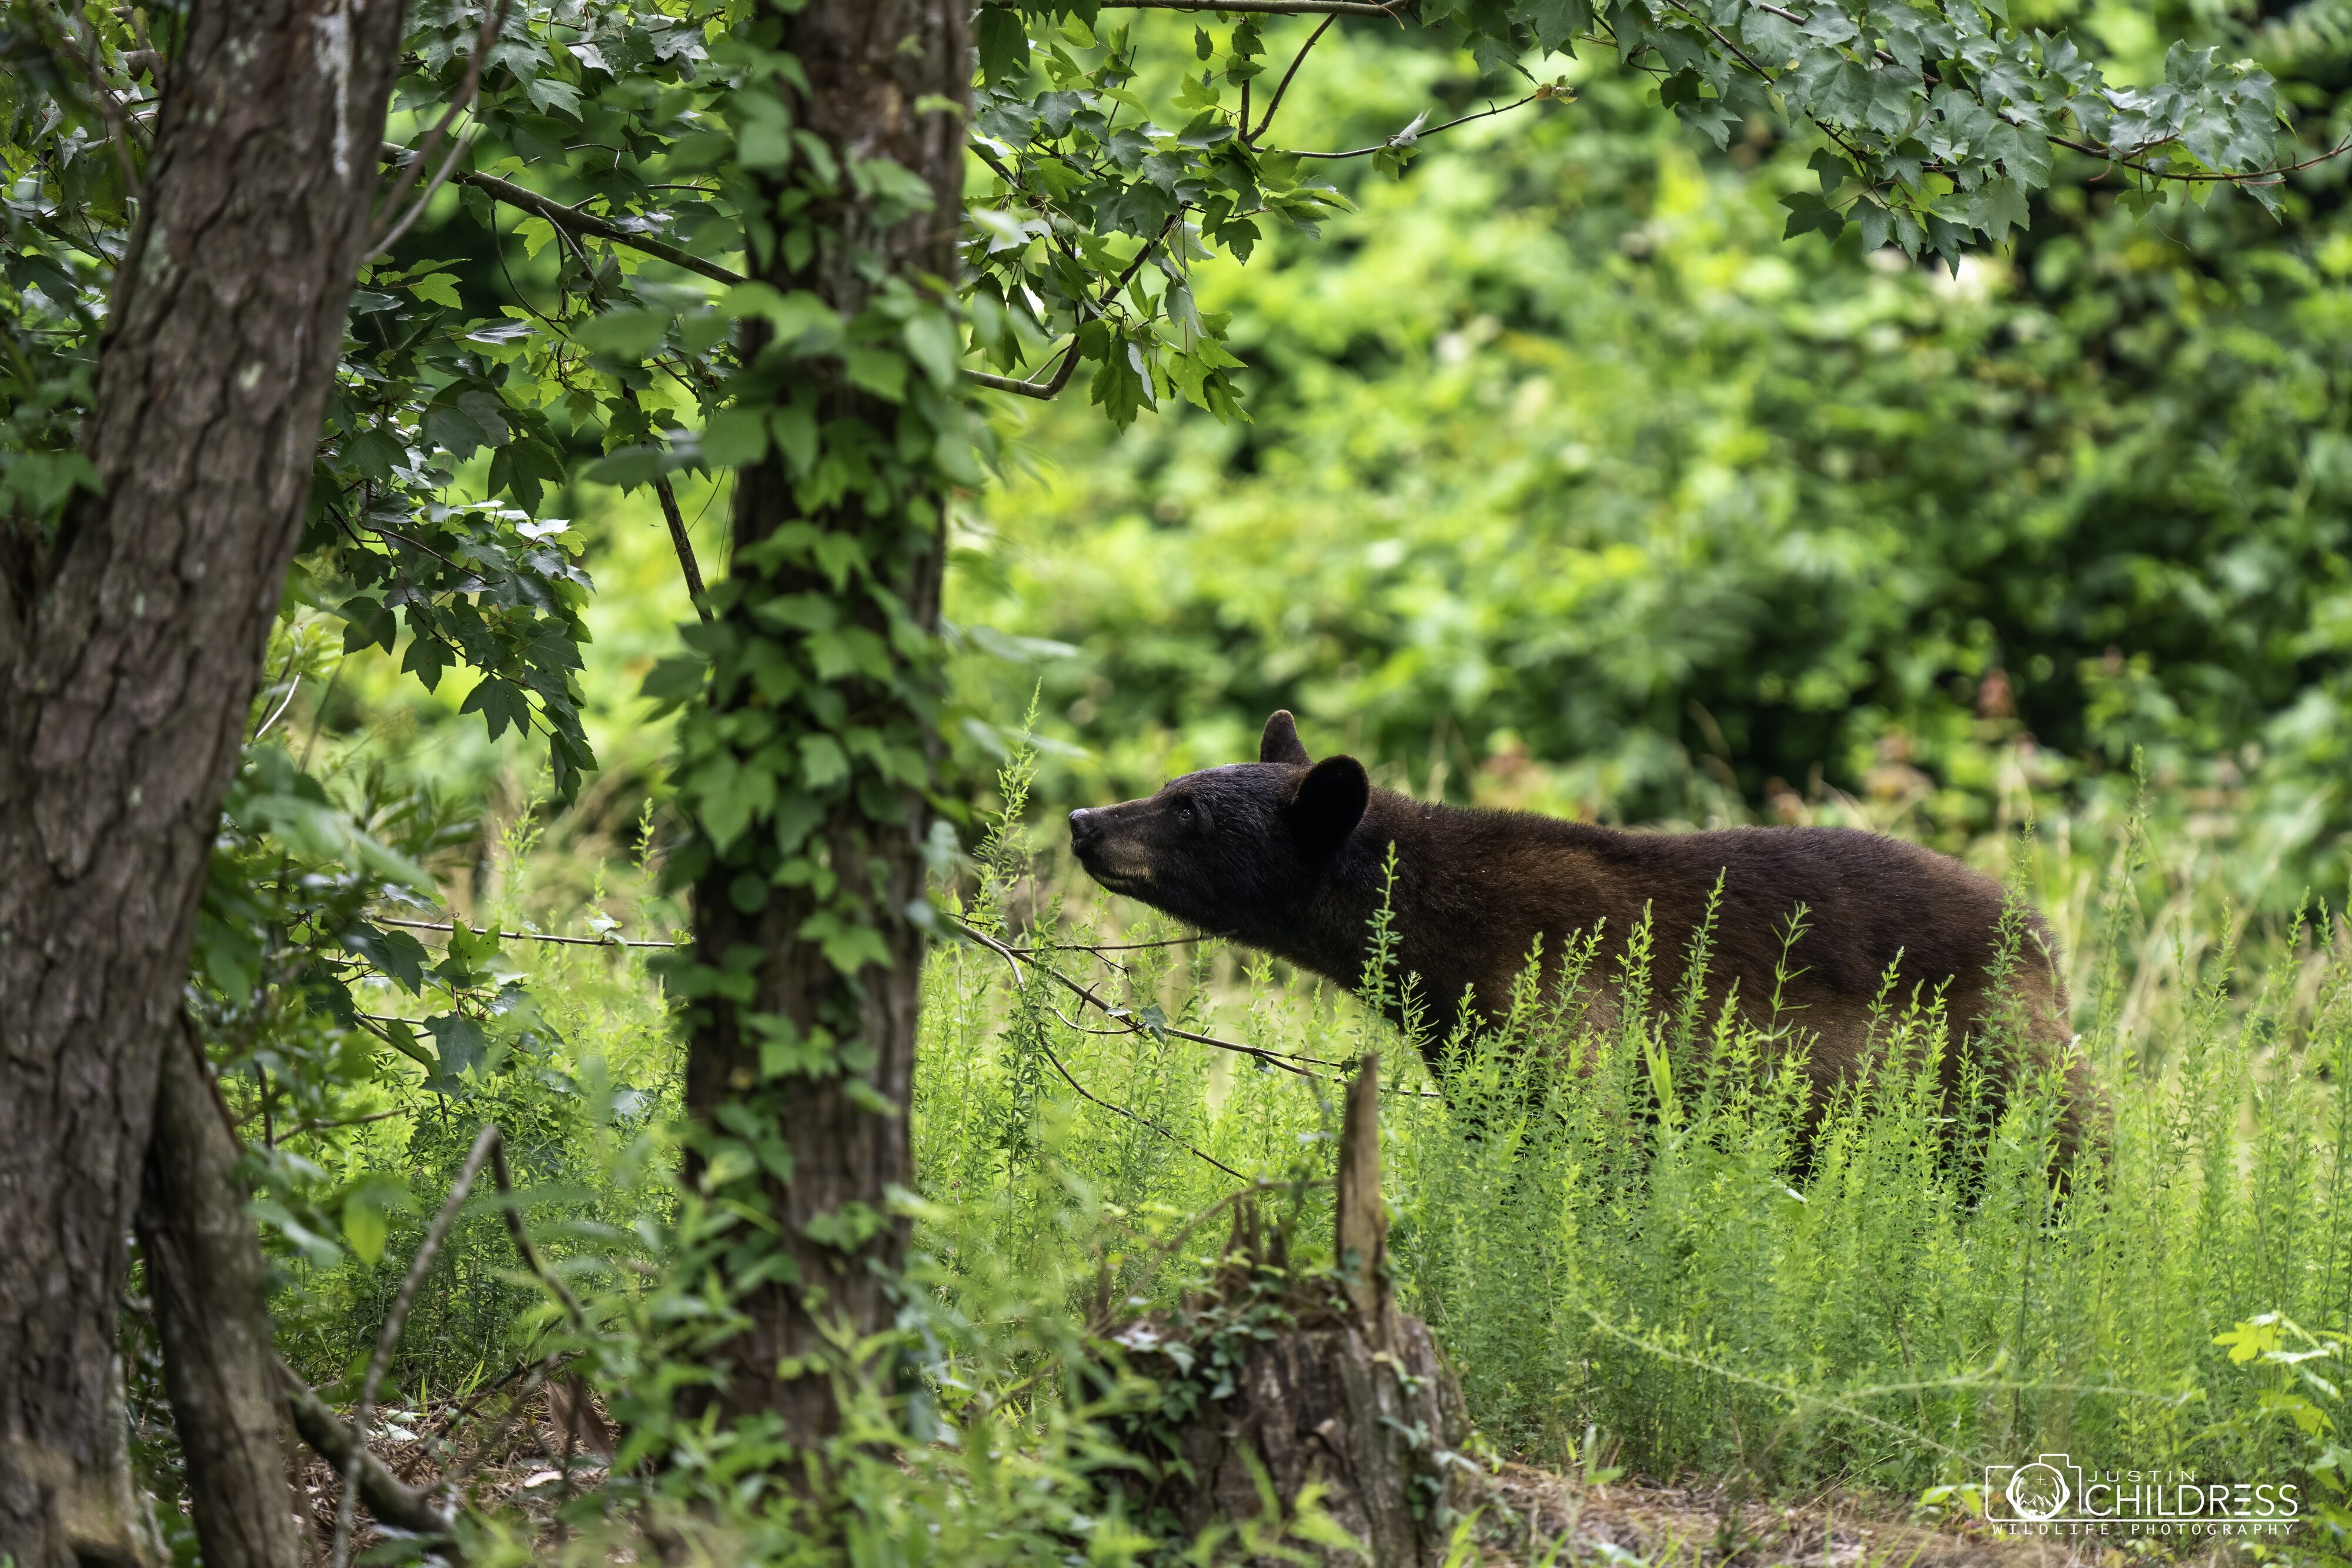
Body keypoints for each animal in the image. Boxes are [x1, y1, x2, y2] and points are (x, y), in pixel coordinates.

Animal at [1068, 710, 2098, 1166]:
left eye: (1186, 809)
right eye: (1171, 784)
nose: (1083, 818)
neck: (1440, 922)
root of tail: (2046, 943)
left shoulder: (1558, 998)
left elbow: (1583, 1137)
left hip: (2000, 1065)